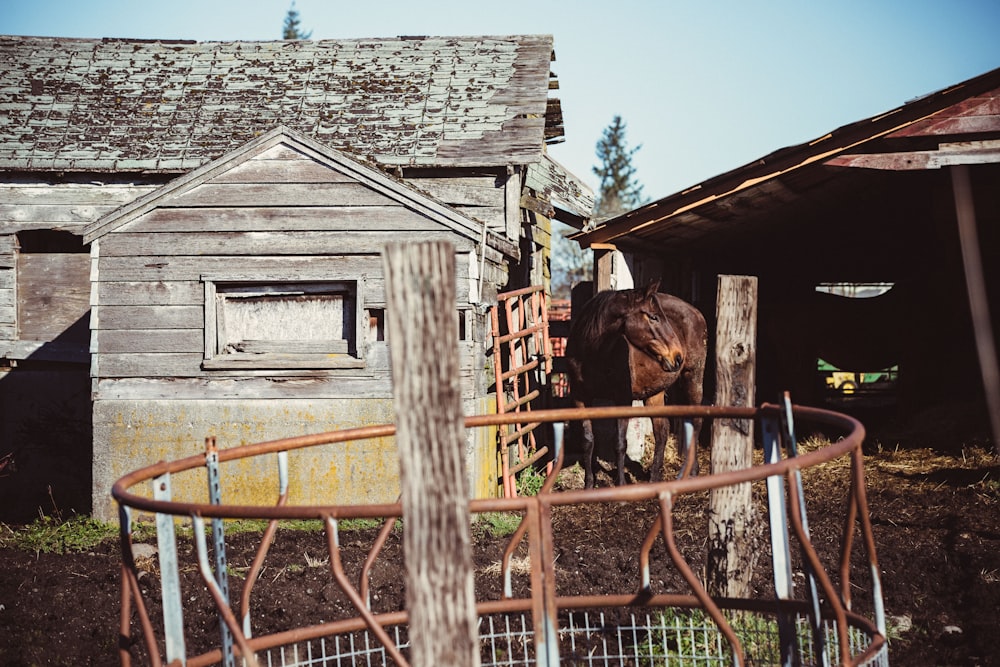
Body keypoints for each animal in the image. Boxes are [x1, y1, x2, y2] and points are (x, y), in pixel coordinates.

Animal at [568, 280, 708, 488]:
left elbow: (620, 443)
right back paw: (655, 476)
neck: (592, 353)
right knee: (662, 430)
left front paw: (621, 484)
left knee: (696, 422)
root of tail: (696, 312)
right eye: (653, 317)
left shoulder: (622, 399)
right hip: (655, 392)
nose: (677, 356)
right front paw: (588, 485)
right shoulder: (580, 398)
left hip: (693, 378)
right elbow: (588, 441)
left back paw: (691, 471)